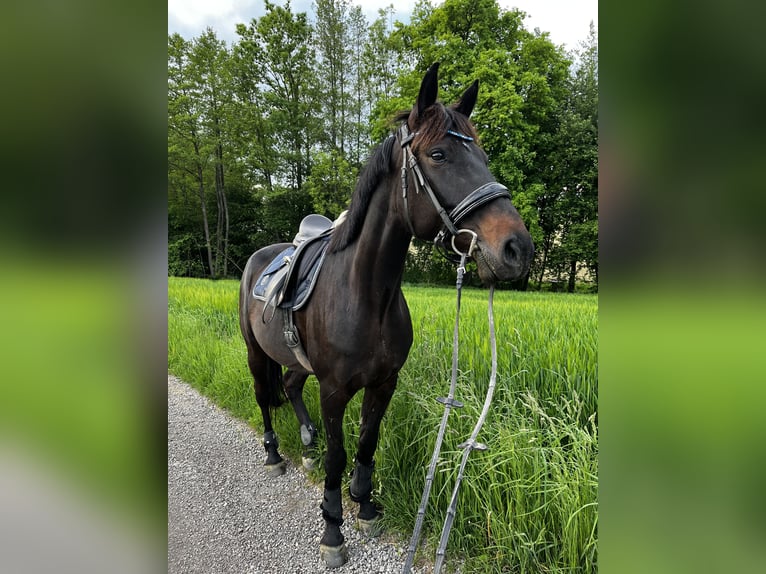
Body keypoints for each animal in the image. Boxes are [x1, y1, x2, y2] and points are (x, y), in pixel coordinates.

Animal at [238, 63, 534, 568]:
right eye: (438, 154)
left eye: (483, 154)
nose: (517, 248)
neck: (366, 294)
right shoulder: (334, 389)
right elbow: (340, 454)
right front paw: (333, 529)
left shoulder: (384, 382)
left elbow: (366, 442)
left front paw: (366, 506)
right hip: (257, 354)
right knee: (264, 397)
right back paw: (275, 454)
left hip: (296, 361)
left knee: (292, 387)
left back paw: (306, 443)